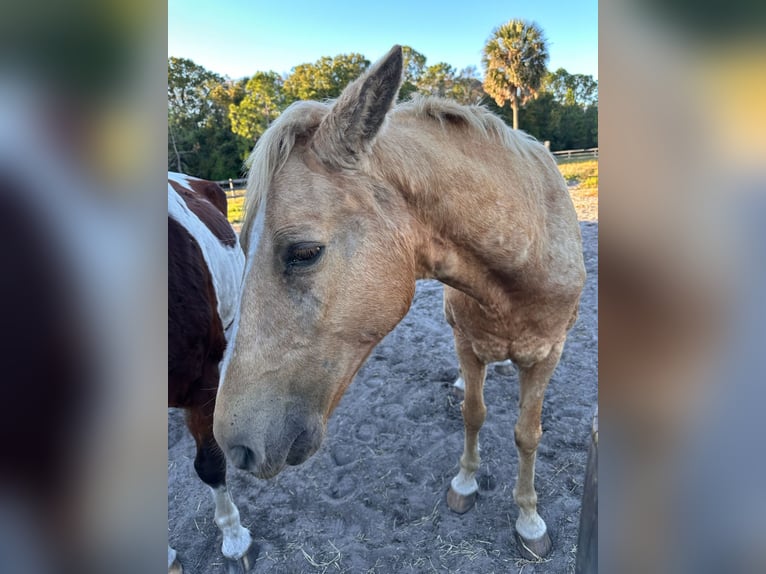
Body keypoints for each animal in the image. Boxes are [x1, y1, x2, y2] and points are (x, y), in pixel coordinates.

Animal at [213, 45, 585, 560]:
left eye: (303, 252)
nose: (233, 446)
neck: (523, 253)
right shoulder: (468, 344)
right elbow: (473, 413)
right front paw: (465, 484)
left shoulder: (548, 354)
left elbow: (527, 435)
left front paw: (529, 521)